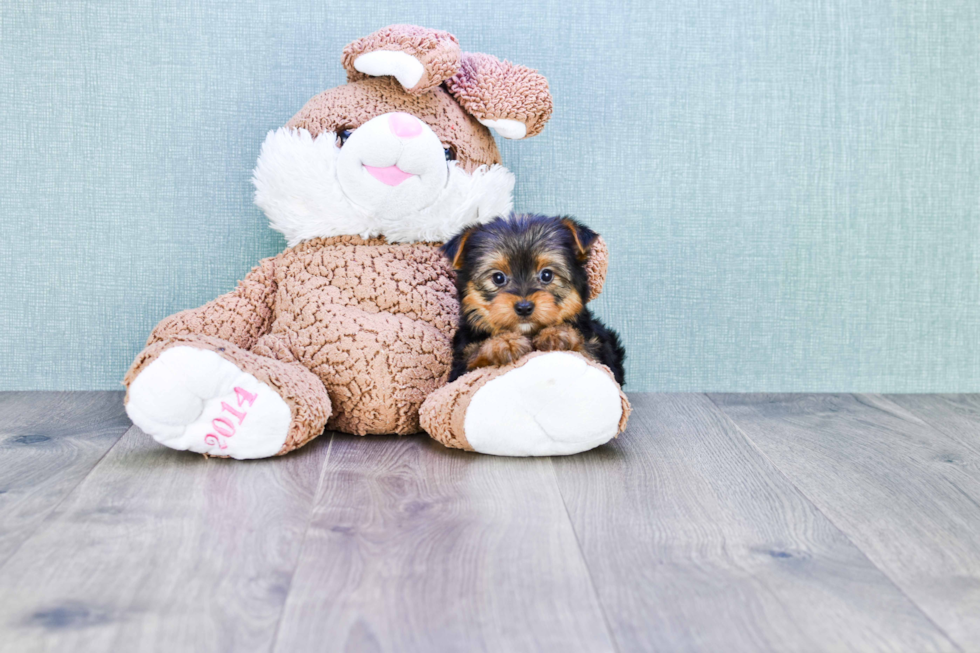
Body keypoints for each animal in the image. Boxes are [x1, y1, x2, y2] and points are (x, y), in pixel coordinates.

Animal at [440, 211, 624, 384]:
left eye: (547, 275)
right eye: (498, 278)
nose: (524, 307)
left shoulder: (598, 355)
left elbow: (587, 353)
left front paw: (557, 333)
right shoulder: (460, 369)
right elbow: (474, 358)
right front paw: (503, 342)